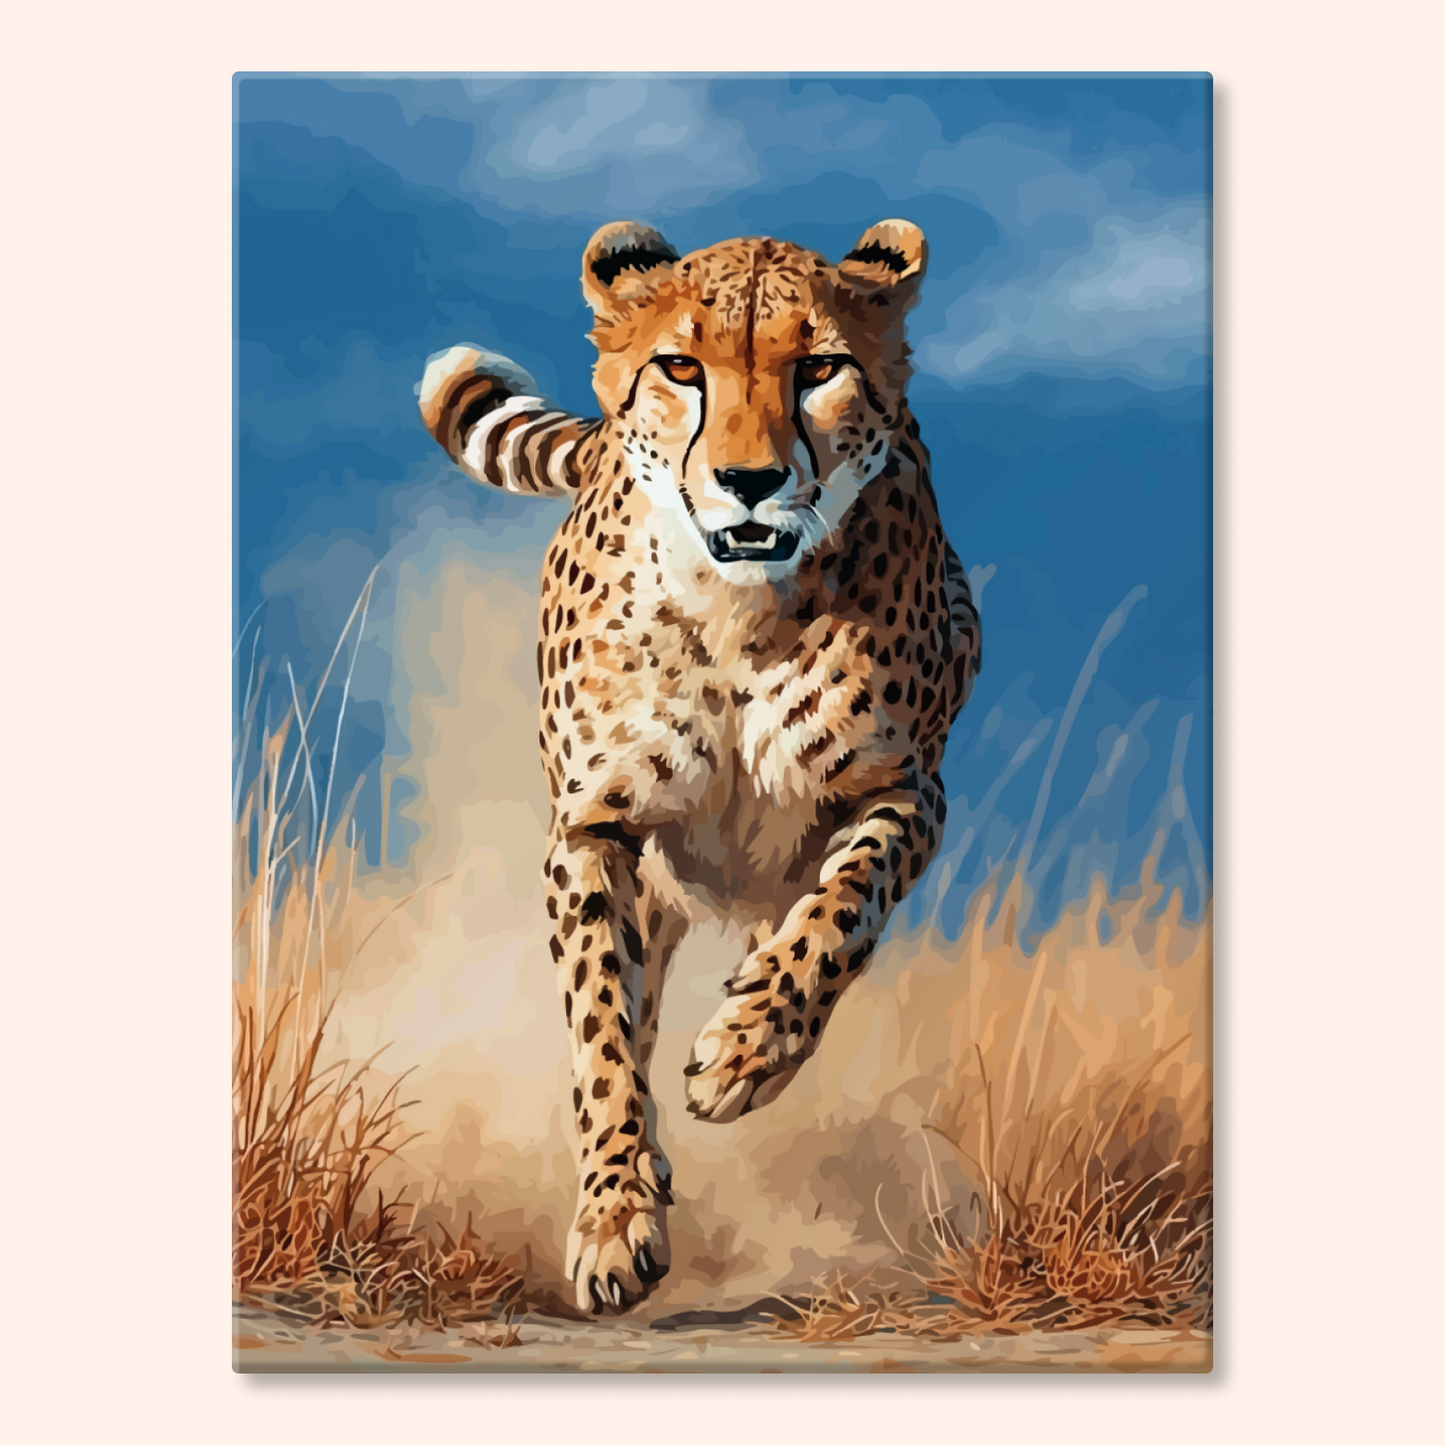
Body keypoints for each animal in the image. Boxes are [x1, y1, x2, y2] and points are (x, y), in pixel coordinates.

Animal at [417, 218, 982, 1316]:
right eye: (681, 367)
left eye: (818, 369)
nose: (748, 480)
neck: (739, 613)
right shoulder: (594, 826)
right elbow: (601, 1025)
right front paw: (612, 1216)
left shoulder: (907, 790)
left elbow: (839, 913)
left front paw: (747, 1045)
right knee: (632, 1013)